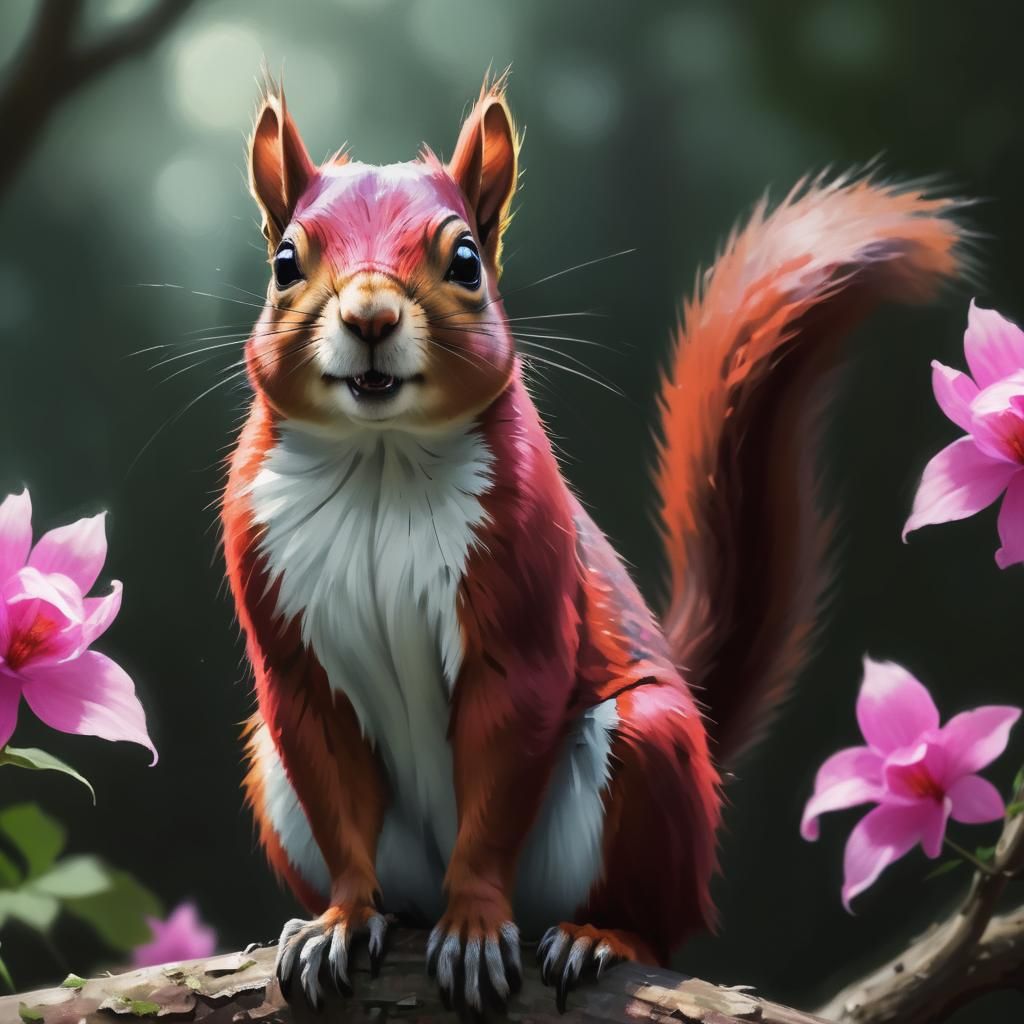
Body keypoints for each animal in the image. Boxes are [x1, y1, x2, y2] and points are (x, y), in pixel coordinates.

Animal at [221, 74, 962, 1013]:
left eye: (467, 261)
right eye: (285, 263)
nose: (371, 316)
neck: (380, 461)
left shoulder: (524, 593)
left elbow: (503, 762)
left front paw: (474, 926)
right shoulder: (289, 652)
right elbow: (332, 780)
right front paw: (342, 919)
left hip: (650, 754)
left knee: (660, 924)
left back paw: (593, 936)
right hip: (270, 767)